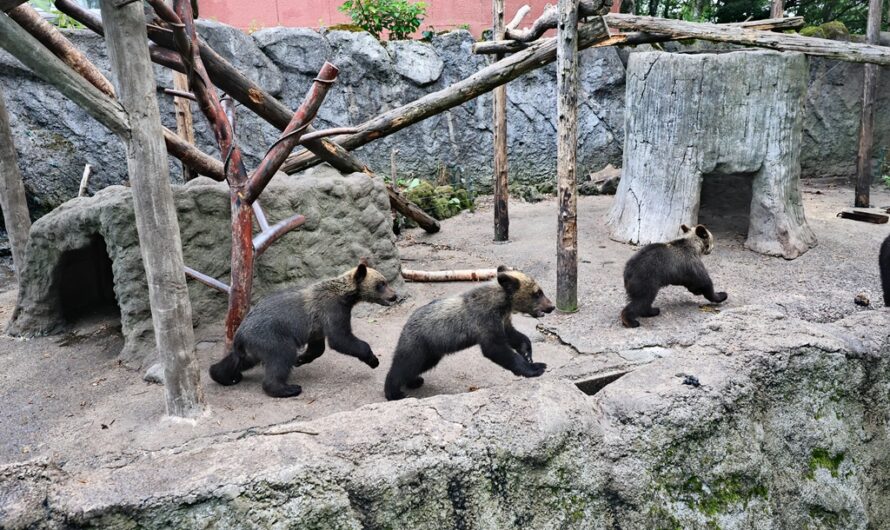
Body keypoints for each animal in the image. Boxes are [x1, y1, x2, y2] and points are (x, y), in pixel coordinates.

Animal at [209, 262, 398, 398]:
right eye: (381, 284)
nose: (394, 295)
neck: (346, 297)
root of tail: (240, 334)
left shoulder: (316, 325)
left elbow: (318, 347)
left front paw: (301, 358)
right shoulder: (333, 310)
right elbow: (340, 338)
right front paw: (373, 359)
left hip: (251, 347)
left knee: (237, 360)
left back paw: (224, 376)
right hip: (271, 337)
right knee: (281, 357)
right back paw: (287, 388)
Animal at [384, 266, 554, 401]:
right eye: (537, 293)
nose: (551, 306)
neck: (502, 304)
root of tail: (407, 323)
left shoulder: (502, 321)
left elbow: (514, 335)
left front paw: (529, 355)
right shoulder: (484, 321)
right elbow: (495, 349)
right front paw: (534, 369)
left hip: (432, 351)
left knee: (417, 366)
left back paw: (414, 381)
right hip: (418, 343)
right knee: (404, 365)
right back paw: (394, 392)